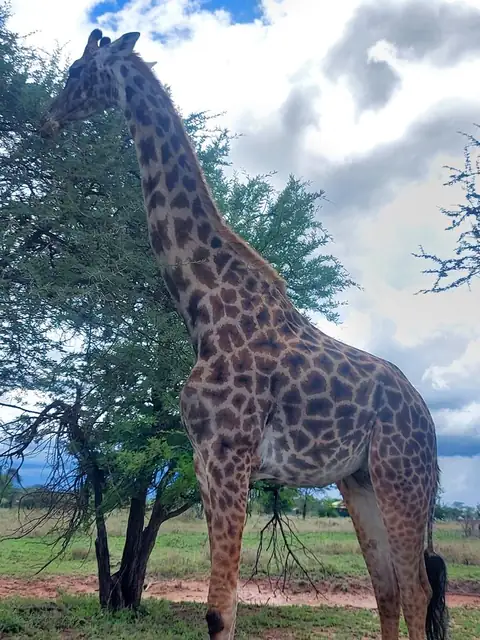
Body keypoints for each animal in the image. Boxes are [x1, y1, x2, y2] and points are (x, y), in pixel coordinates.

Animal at [40, 30, 449, 640]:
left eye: (74, 72)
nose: (47, 117)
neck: (207, 310)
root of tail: (427, 419)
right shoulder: (206, 462)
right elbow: (219, 607)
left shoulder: (230, 456)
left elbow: (219, 611)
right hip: (359, 480)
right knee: (389, 590)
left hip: (402, 475)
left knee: (419, 589)